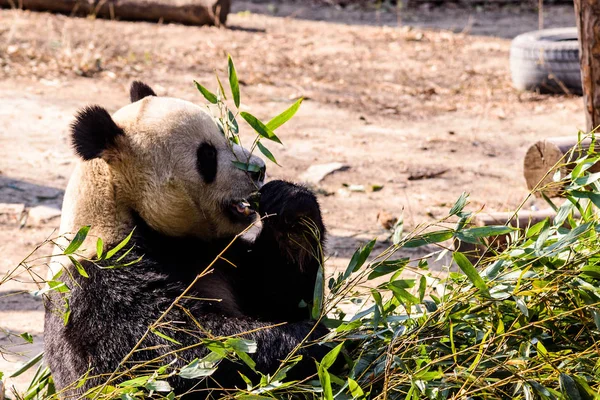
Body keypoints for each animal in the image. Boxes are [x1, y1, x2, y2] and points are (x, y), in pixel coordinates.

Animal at [44, 81, 330, 396]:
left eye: (226, 135)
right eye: (207, 155)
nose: (259, 170)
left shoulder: (221, 256)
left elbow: (280, 293)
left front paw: (289, 205)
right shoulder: (100, 281)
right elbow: (173, 351)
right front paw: (312, 340)